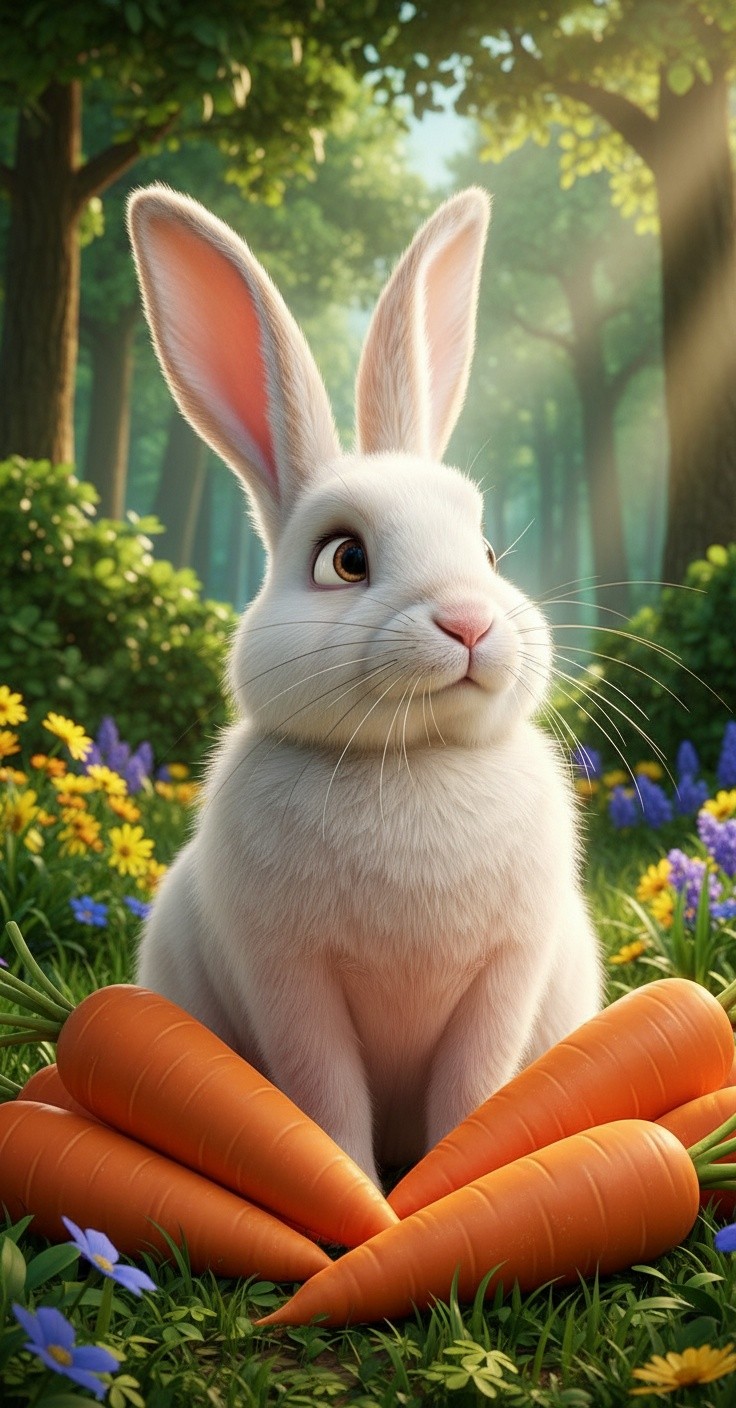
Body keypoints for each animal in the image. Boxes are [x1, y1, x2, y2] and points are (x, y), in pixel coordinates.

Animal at [127, 182, 602, 1185]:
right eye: (344, 559)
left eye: (488, 551)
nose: (469, 622)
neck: (415, 759)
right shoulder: (291, 981)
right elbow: (324, 1092)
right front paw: (360, 1193)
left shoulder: (504, 974)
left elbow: (474, 1090)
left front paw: (444, 1187)